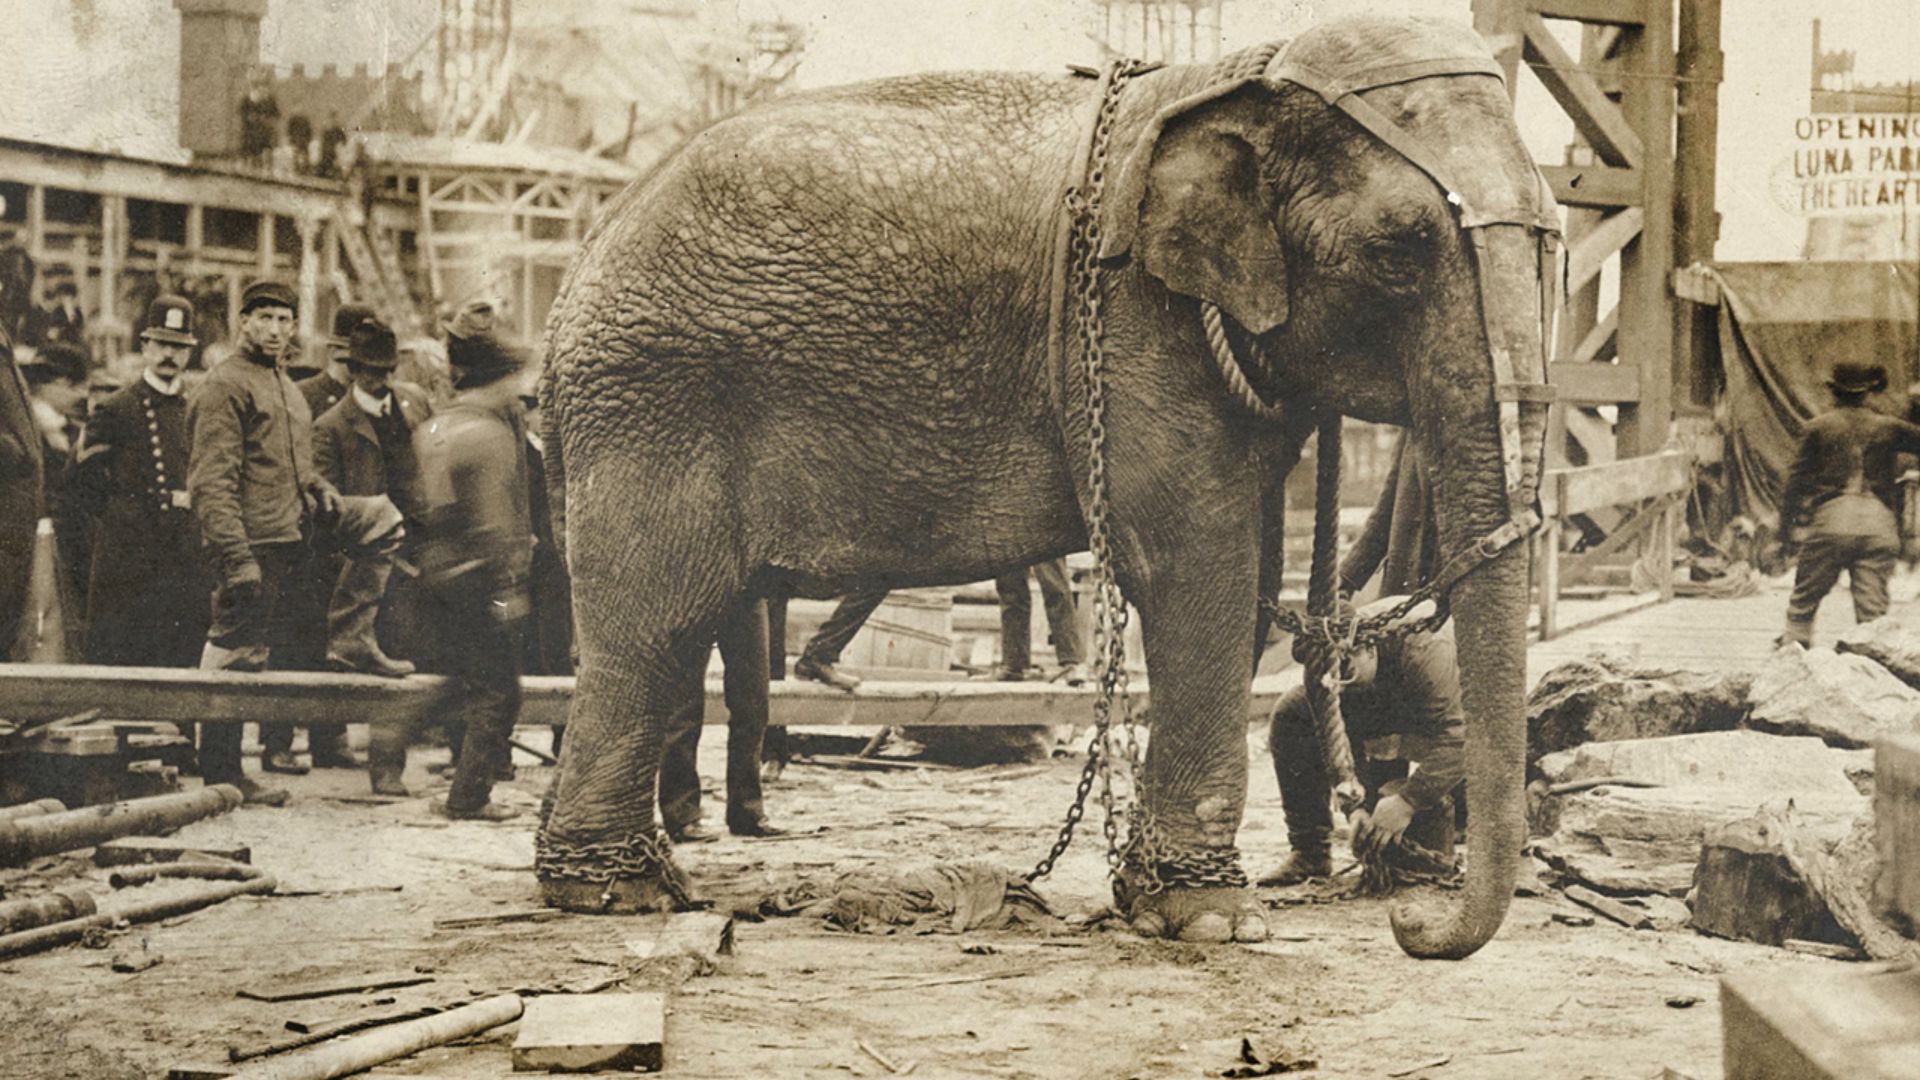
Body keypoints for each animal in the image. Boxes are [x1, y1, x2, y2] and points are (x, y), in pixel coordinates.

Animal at [537, 14, 1556, 959]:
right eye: (1399, 248)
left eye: (1553, 235)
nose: (1409, 922)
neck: (1239, 74)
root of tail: (579, 263)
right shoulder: (1132, 326)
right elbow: (1197, 574)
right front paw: (1214, 921)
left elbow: (1247, 572)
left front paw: (1154, 900)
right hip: (653, 398)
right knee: (658, 618)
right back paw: (616, 894)